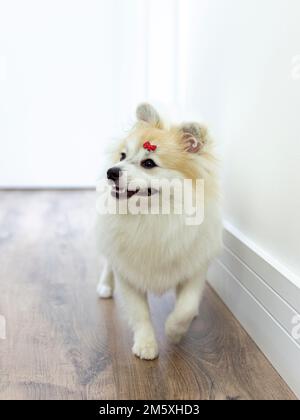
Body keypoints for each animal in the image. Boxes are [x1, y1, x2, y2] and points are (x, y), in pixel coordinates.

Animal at [96, 103, 223, 360]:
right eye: (123, 156)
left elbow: (186, 307)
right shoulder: (128, 272)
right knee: (108, 262)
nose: (111, 171)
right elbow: (140, 313)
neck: (154, 216)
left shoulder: (195, 267)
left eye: (149, 163)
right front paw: (146, 344)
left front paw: (174, 331)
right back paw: (105, 286)